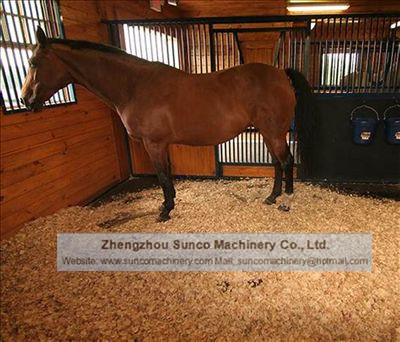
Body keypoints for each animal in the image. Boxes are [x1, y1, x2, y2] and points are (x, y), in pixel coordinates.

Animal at [20, 28, 314, 223]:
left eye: (33, 62)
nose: (25, 99)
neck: (135, 86)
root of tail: (280, 73)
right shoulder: (160, 144)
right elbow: (167, 174)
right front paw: (168, 204)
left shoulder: (154, 143)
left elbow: (162, 175)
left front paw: (164, 210)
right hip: (268, 132)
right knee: (277, 163)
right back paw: (272, 197)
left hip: (273, 132)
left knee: (286, 161)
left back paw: (286, 200)